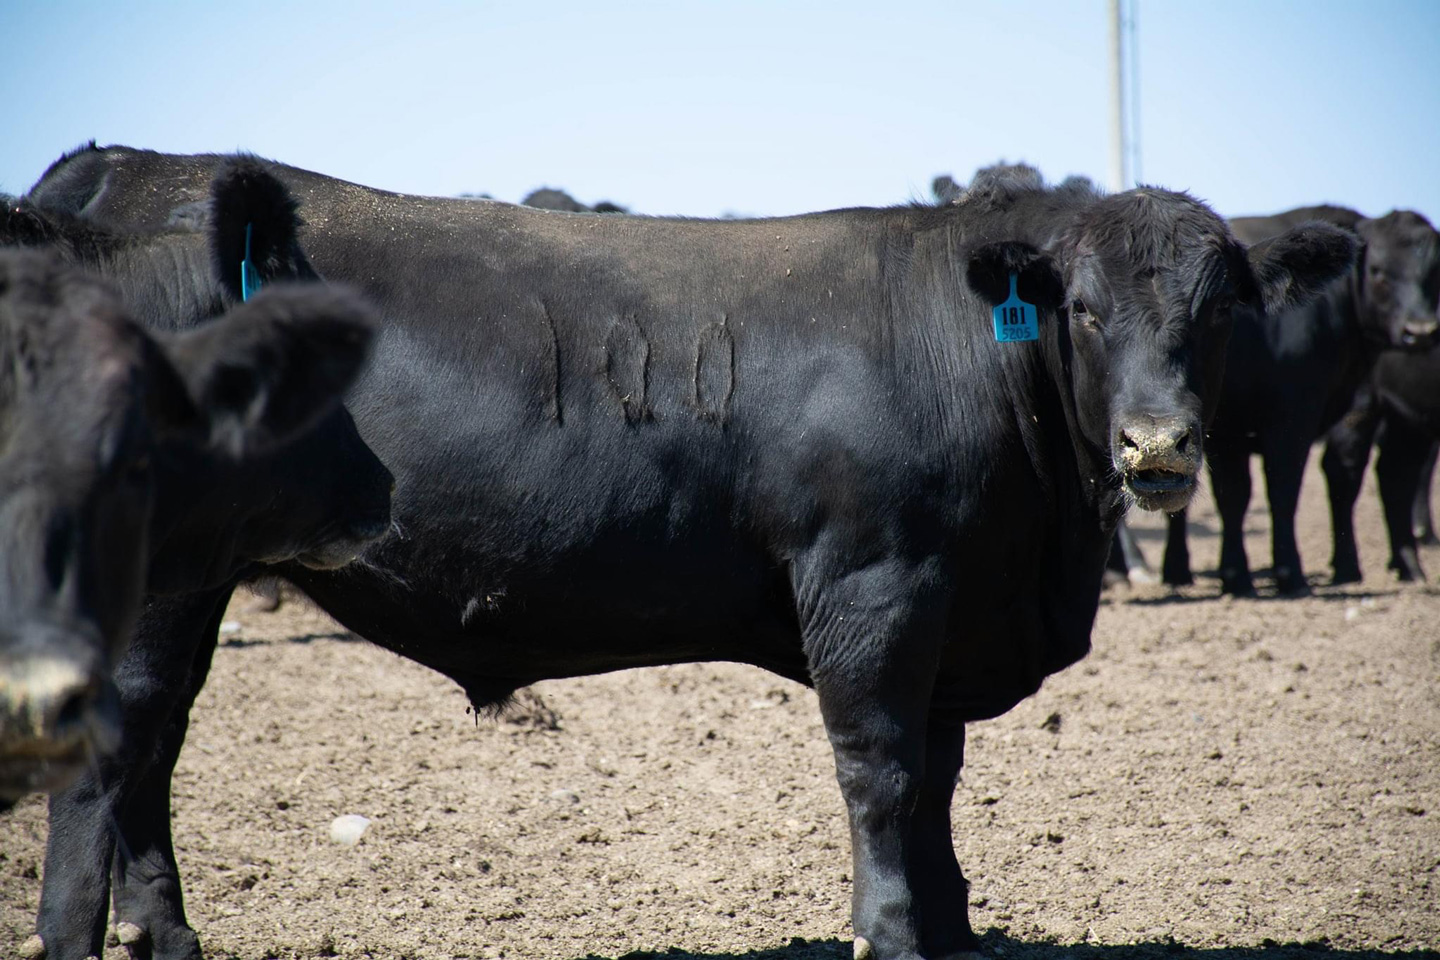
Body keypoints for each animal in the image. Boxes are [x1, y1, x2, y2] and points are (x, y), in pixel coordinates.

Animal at [1152, 207, 1422, 592]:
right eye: (1378, 270)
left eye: (1431, 270)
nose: (1421, 331)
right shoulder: (1293, 420)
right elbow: (1282, 489)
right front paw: (1290, 574)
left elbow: (1237, 495)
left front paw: (1238, 577)